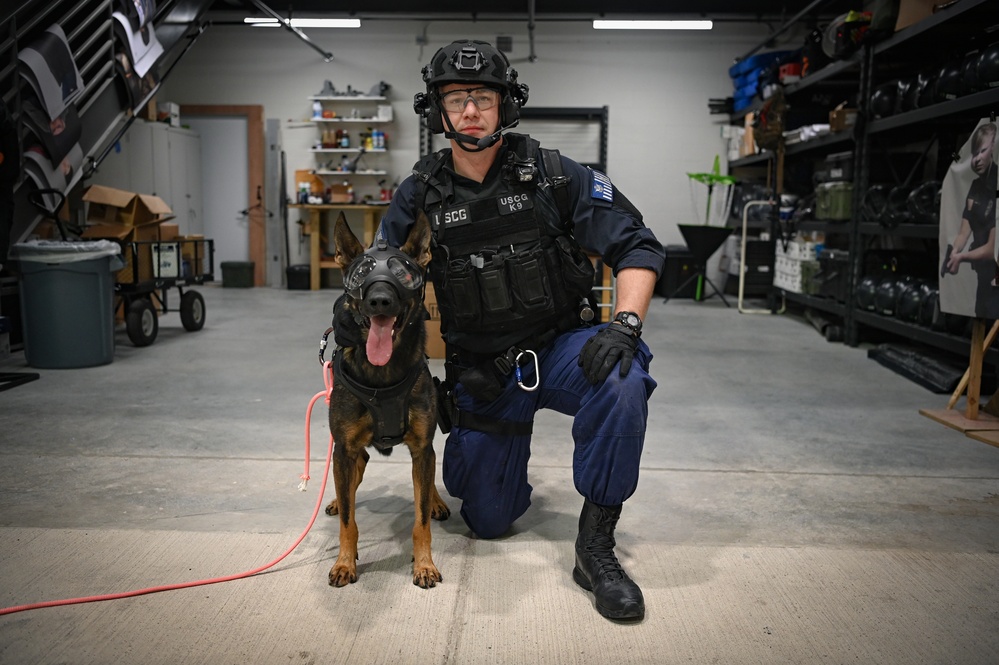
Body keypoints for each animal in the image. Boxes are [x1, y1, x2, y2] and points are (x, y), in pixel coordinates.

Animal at [324, 211, 450, 588]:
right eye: (360, 274)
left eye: (404, 273)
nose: (379, 299)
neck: (383, 375)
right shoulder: (343, 449)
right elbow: (348, 521)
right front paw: (345, 562)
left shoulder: (421, 448)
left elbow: (420, 520)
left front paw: (424, 564)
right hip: (345, 455)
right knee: (354, 477)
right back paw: (337, 499)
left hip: (425, 452)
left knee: (427, 475)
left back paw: (436, 501)